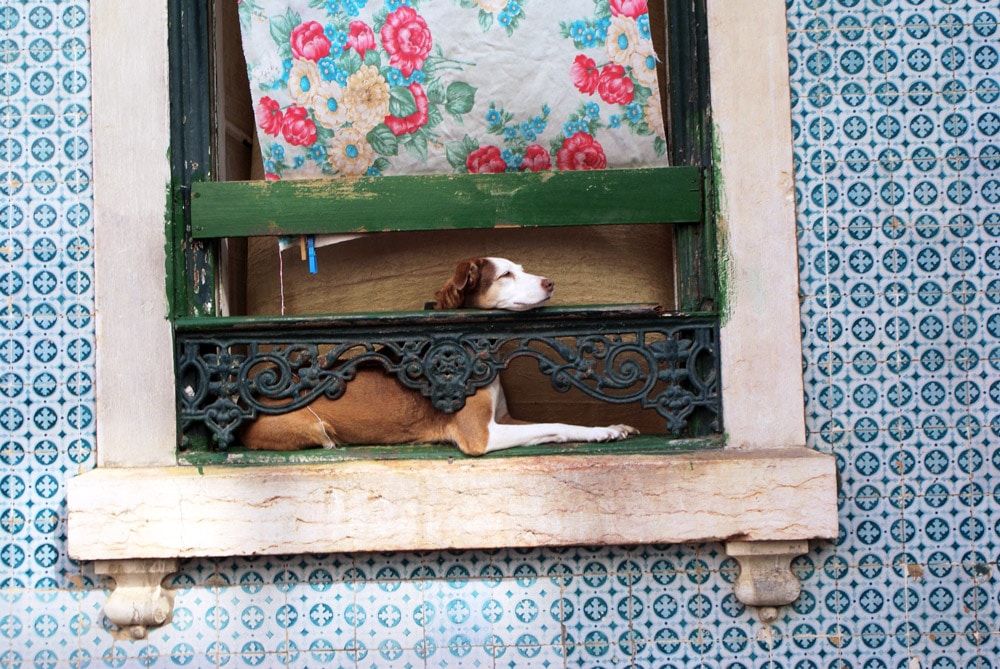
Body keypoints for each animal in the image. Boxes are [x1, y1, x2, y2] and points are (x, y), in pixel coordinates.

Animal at [238, 256, 636, 454]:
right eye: (506, 274)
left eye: (522, 269)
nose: (550, 282)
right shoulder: (480, 436)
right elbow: (552, 426)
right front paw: (605, 431)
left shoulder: (503, 420)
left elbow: (557, 425)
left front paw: (607, 429)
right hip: (312, 425)